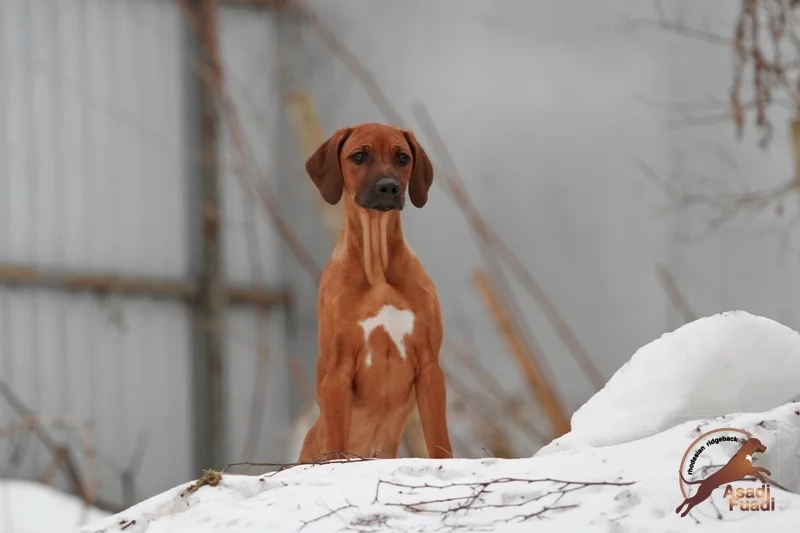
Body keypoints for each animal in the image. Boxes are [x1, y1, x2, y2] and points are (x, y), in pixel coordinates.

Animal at [298, 122, 454, 460]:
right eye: (359, 156)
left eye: (402, 157)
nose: (389, 188)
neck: (378, 266)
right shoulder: (338, 370)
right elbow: (336, 441)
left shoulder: (429, 366)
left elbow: (439, 440)